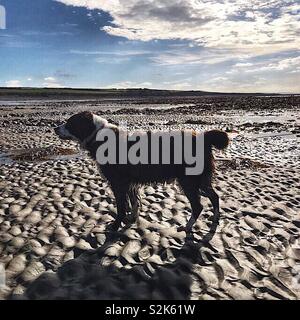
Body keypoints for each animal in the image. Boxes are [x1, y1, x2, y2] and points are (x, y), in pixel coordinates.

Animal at [55, 112, 229, 235]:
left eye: (70, 122)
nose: (55, 128)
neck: (98, 135)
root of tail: (203, 136)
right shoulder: (130, 182)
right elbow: (134, 203)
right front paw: (132, 219)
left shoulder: (118, 183)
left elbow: (121, 207)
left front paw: (116, 225)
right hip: (200, 180)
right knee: (214, 196)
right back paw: (215, 219)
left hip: (189, 180)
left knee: (198, 205)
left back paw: (187, 227)